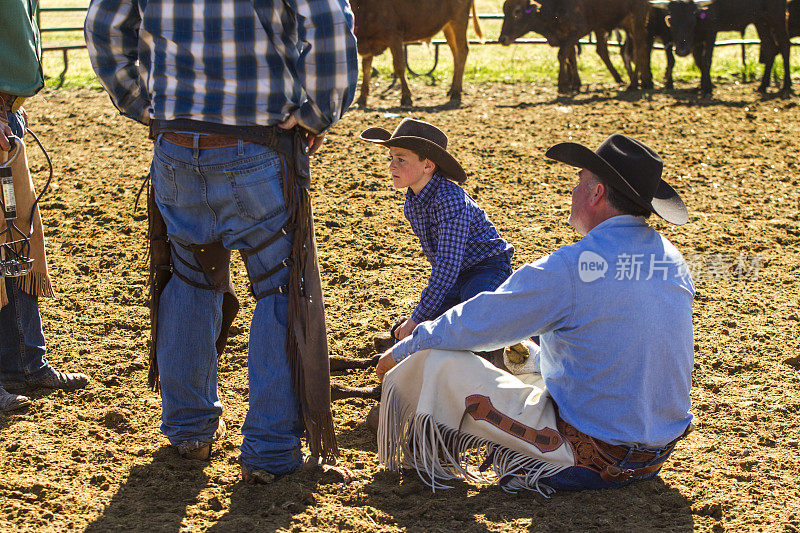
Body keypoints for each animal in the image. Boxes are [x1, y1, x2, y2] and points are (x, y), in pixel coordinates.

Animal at [350, 0, 482, 107]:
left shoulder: (394, 37)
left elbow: (399, 66)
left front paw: (406, 97)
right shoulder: (368, 45)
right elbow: (366, 69)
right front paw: (361, 98)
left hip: (458, 21)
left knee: (462, 51)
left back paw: (455, 93)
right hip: (448, 26)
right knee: (455, 54)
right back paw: (453, 89)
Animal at [648, 0, 792, 95]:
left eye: (692, 22)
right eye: (671, 22)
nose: (682, 51)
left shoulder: (711, 31)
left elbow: (706, 60)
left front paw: (707, 89)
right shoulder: (697, 40)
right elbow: (699, 61)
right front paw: (703, 85)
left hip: (776, 16)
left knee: (785, 45)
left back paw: (786, 85)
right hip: (760, 20)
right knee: (770, 48)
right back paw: (763, 85)